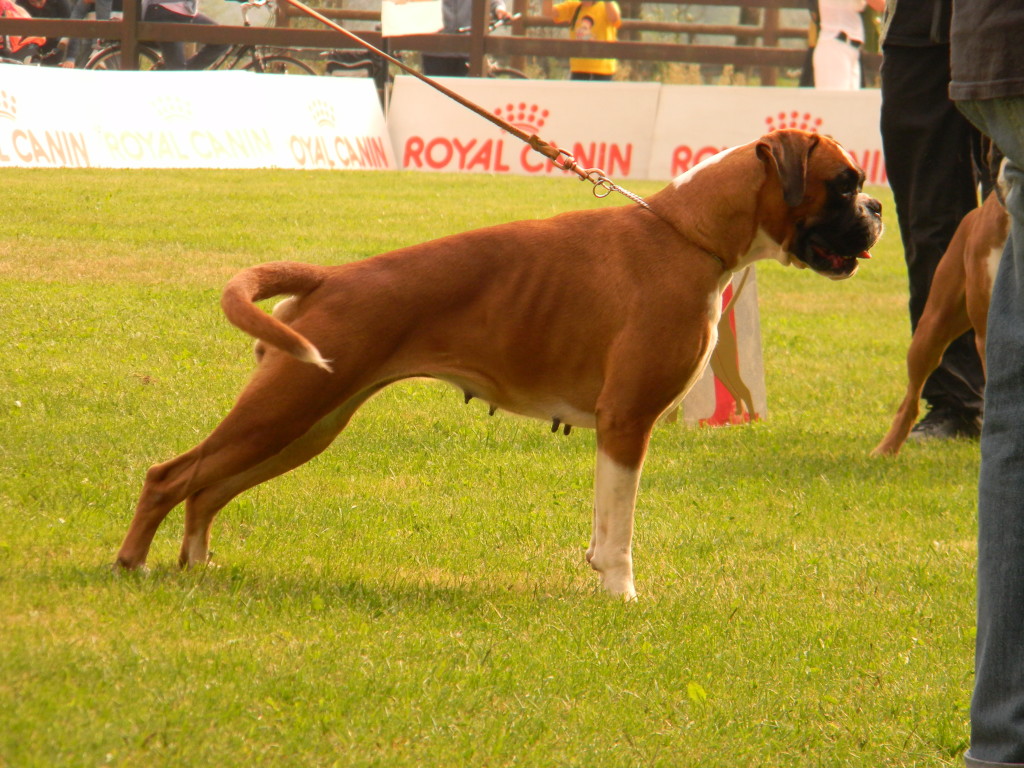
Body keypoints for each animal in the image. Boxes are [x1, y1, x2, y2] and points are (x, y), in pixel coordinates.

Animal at [112, 131, 880, 602]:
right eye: (843, 184)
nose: (875, 207)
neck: (686, 233)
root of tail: (333, 276)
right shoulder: (627, 422)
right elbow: (621, 529)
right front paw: (622, 596)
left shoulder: (617, 430)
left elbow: (603, 523)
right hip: (285, 410)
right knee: (171, 476)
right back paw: (132, 565)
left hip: (307, 423)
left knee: (208, 489)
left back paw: (197, 565)